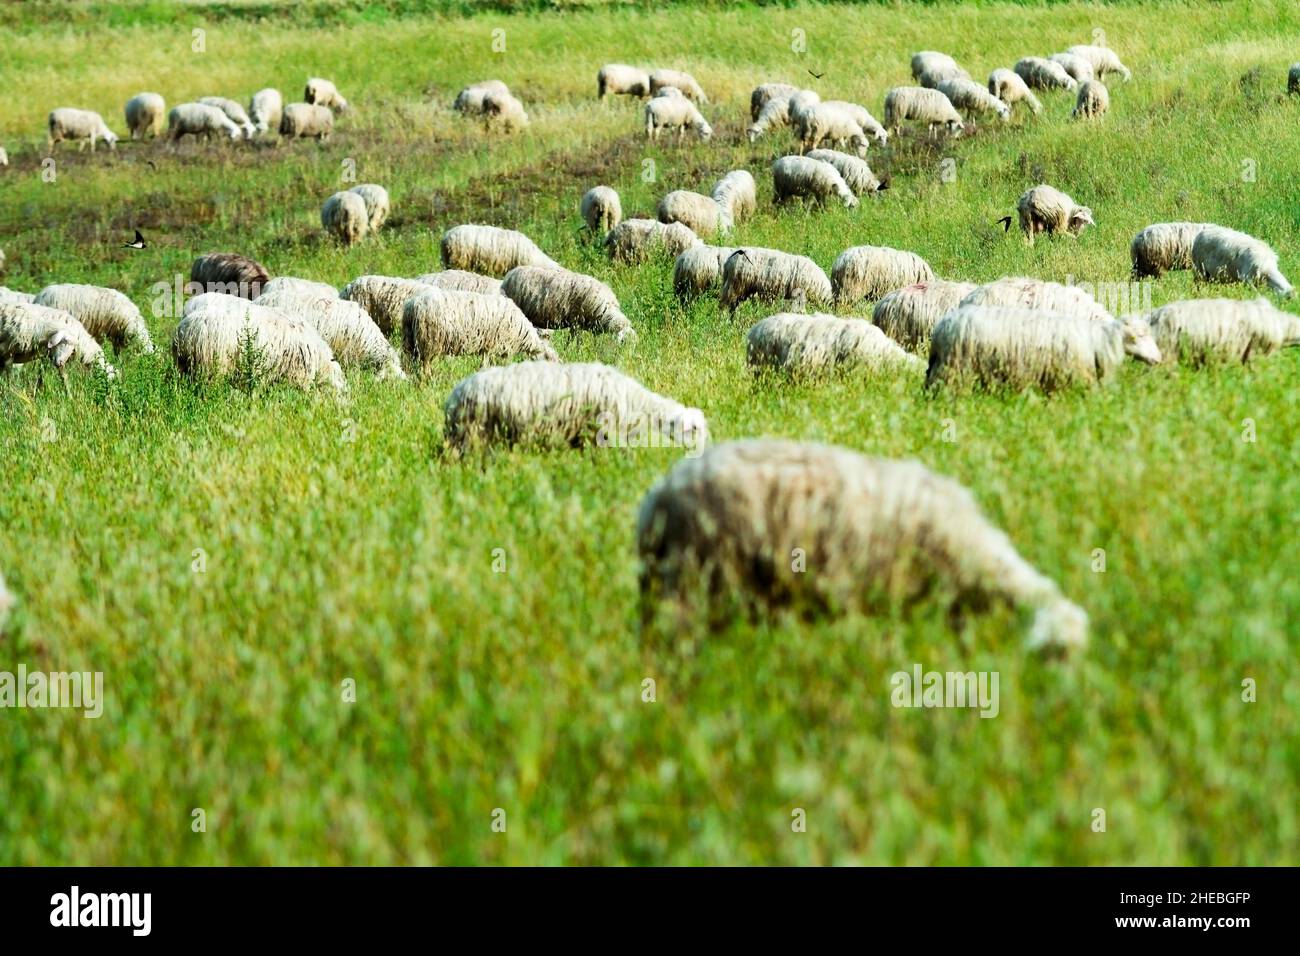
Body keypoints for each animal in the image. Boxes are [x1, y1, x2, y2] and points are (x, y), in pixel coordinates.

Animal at [402, 287, 557, 367]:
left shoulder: (487, 347)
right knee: (425, 366)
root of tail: (414, 305)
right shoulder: (500, 345)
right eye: (549, 359)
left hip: (409, 340)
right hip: (429, 341)